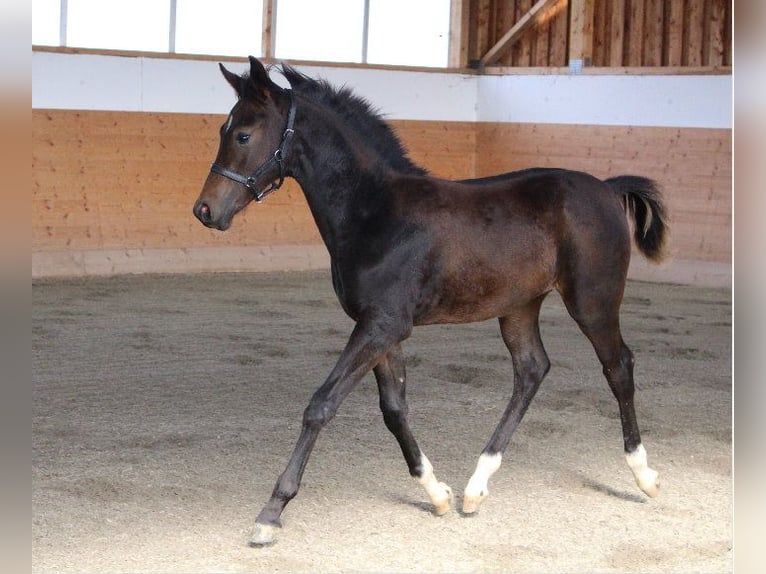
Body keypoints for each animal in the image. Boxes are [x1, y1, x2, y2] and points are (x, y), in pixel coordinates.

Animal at [195, 58, 668, 548]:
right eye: (223, 130)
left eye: (243, 135)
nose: (205, 211)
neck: (375, 211)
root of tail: (608, 188)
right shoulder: (381, 328)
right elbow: (394, 409)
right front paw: (437, 492)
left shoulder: (382, 325)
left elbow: (321, 405)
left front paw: (270, 513)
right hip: (519, 306)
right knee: (531, 370)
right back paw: (475, 488)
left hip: (593, 302)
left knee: (618, 367)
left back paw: (644, 474)